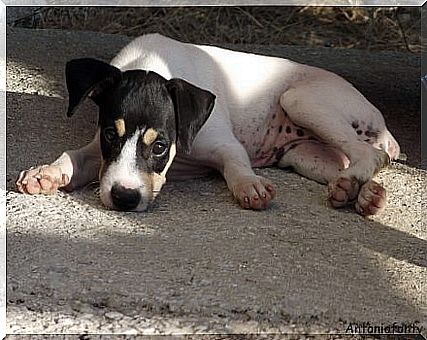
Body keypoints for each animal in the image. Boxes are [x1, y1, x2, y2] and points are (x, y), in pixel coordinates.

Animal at [14, 33, 402, 215]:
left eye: (160, 146)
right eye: (111, 133)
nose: (124, 198)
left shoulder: (226, 146)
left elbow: (236, 166)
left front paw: (249, 186)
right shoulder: (101, 153)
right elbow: (75, 156)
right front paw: (46, 173)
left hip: (301, 101)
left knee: (370, 155)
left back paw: (355, 184)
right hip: (304, 155)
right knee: (350, 161)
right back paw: (361, 193)